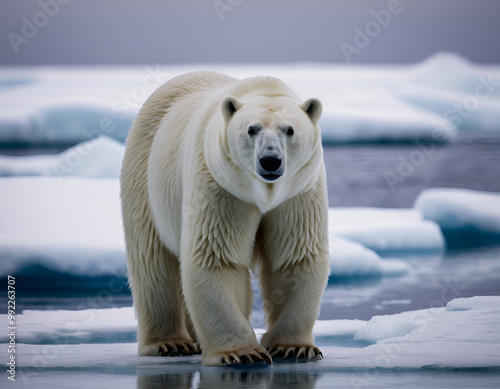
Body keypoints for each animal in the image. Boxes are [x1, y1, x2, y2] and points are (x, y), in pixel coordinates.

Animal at [119, 71, 330, 366]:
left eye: (289, 130)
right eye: (252, 129)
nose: (270, 161)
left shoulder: (298, 192)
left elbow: (294, 258)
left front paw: (294, 348)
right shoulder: (221, 185)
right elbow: (216, 257)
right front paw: (243, 352)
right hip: (145, 173)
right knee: (152, 260)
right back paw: (169, 343)